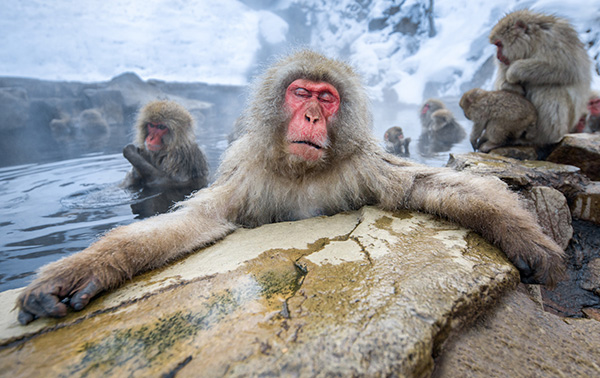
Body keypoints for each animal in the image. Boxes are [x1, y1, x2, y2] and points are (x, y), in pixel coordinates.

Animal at [15, 50, 568, 324]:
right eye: (301, 93)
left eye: (326, 98)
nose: (311, 116)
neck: (302, 172)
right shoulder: (245, 175)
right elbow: (198, 219)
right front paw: (85, 268)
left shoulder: (360, 165)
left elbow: (422, 185)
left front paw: (518, 232)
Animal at [492, 9, 592, 145]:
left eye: (499, 44)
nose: (497, 56)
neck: (533, 42)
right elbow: (501, 82)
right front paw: (511, 86)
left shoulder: (553, 38)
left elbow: (566, 69)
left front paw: (514, 72)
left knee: (548, 87)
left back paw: (539, 138)